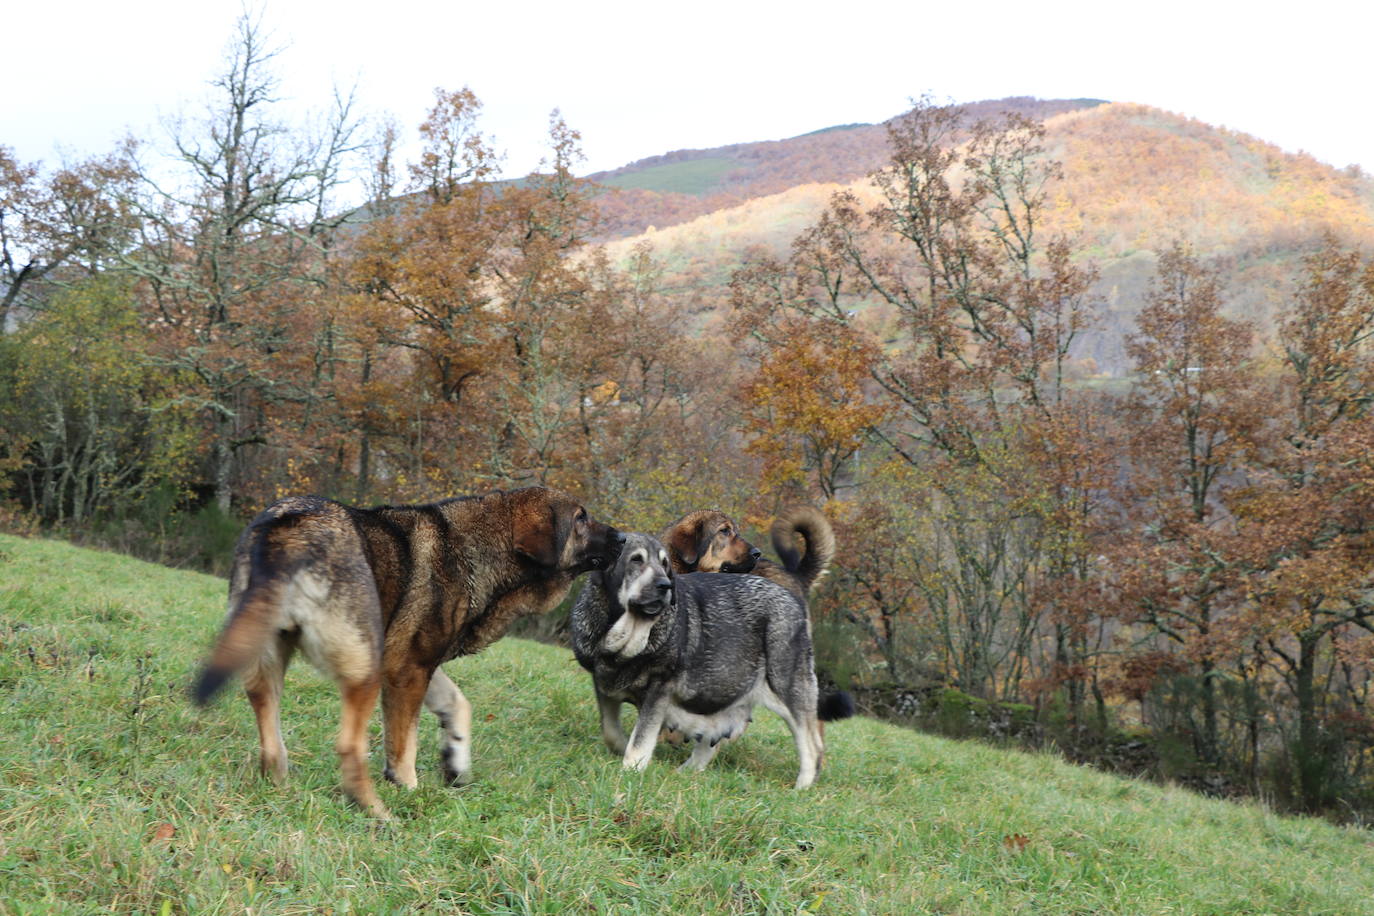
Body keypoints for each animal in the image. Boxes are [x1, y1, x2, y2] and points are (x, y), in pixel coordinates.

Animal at [568, 530, 846, 791]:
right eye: (636, 560)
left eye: (664, 565)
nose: (665, 585)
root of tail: (794, 600)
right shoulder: (604, 685)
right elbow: (610, 730)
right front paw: (623, 750)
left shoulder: (658, 690)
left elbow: (641, 737)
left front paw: (631, 770)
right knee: (710, 742)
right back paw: (685, 773)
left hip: (788, 690)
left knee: (812, 745)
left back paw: (802, 787)